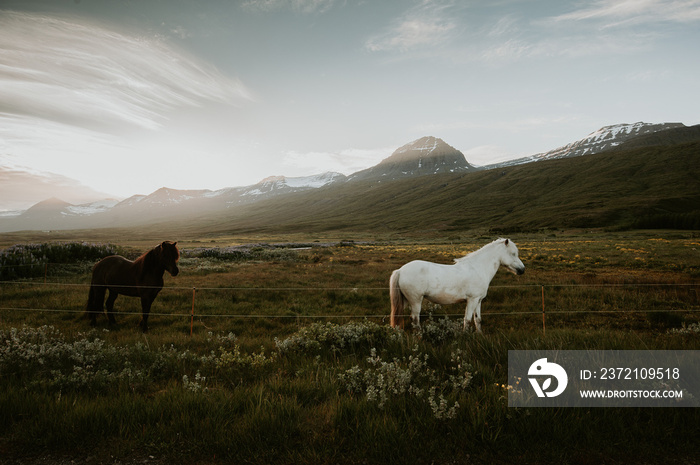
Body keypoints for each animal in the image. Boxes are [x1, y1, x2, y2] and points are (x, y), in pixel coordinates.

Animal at [388, 239, 524, 330]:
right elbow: (467, 320)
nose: (522, 270)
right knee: (415, 319)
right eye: (513, 253)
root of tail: (400, 270)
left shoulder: (478, 301)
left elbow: (477, 320)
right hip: (415, 300)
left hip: (405, 300)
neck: (478, 268)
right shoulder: (472, 300)